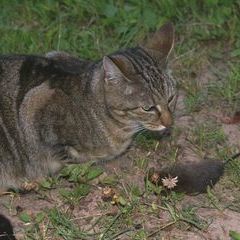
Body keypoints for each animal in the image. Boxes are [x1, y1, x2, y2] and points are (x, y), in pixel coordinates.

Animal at [0, 23, 176, 191]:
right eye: (148, 108)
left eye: (171, 99)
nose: (169, 123)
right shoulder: (35, 109)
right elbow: (73, 163)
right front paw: (95, 176)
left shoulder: (55, 54)